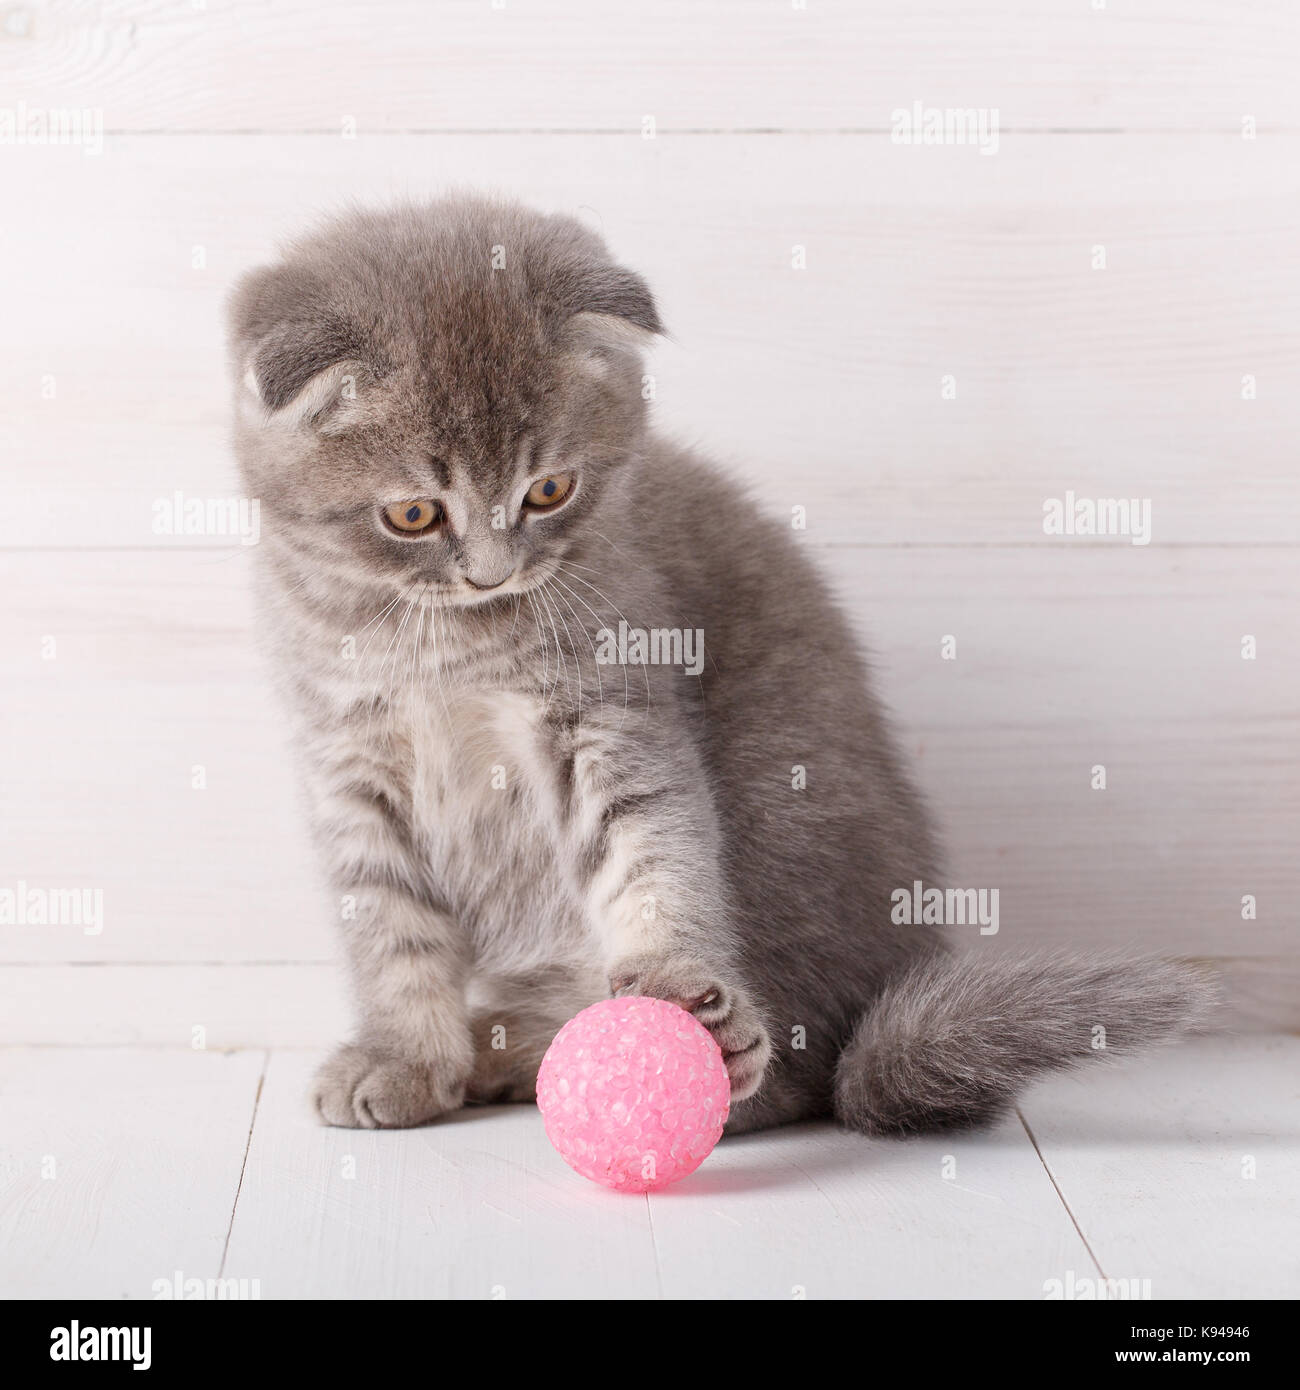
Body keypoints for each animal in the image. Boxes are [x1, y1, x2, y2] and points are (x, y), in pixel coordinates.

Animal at [229, 193, 1212, 1128]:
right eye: (413, 515)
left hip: (780, 810)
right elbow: (389, 925)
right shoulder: (349, 763)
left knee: (798, 1070)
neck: (442, 647)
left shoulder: (607, 702)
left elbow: (649, 845)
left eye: (549, 491)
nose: (491, 573)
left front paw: (673, 985)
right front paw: (405, 1061)